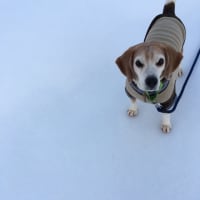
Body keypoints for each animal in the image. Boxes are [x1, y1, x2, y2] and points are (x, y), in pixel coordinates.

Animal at [115, 0, 186, 134]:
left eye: (160, 61)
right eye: (138, 63)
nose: (151, 81)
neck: (148, 94)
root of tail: (168, 13)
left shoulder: (169, 100)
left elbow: (166, 114)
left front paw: (165, 124)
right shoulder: (129, 91)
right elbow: (133, 100)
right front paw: (133, 109)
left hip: (182, 45)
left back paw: (178, 69)